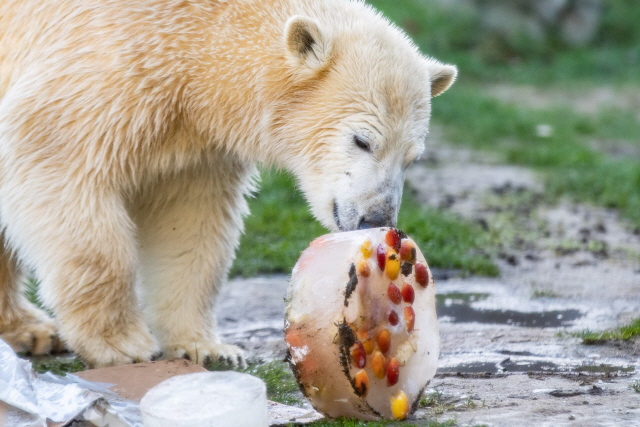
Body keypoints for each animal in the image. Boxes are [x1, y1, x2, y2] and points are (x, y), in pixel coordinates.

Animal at [0, 0, 456, 368]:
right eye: (362, 140)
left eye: (412, 157)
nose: (375, 218)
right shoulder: (108, 70)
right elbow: (58, 164)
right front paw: (122, 344)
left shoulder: (196, 141)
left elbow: (189, 224)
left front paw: (206, 347)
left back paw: (30, 330)